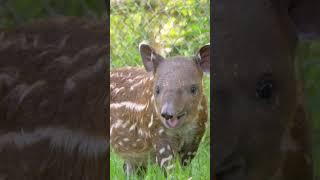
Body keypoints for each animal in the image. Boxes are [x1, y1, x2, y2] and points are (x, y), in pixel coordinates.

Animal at [110, 43, 210, 176]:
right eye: (157, 89)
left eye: (193, 88)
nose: (167, 114)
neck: (182, 128)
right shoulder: (158, 133)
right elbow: (169, 169)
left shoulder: (195, 137)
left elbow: (185, 167)